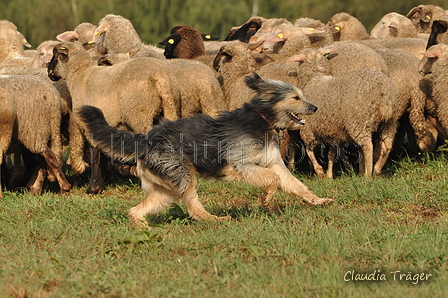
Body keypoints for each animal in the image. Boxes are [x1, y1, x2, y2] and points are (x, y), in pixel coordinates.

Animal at [48, 42, 181, 194]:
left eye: (55, 55)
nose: (48, 71)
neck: (78, 74)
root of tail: (161, 77)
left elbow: (95, 156)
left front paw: (93, 188)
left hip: (140, 115)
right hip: (170, 109)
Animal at [77, 73, 332, 227]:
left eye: (302, 96)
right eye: (296, 97)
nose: (315, 107)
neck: (262, 119)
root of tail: (146, 138)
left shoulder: (274, 163)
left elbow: (294, 184)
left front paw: (318, 200)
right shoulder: (240, 165)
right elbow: (272, 180)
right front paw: (267, 196)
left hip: (166, 188)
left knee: (136, 210)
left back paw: (142, 226)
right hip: (182, 174)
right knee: (194, 209)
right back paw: (217, 219)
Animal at [288, 48, 400, 178]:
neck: (314, 79)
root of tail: (384, 95)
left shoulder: (308, 129)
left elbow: (308, 150)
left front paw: (320, 172)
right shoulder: (331, 131)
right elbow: (331, 154)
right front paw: (329, 176)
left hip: (359, 121)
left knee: (368, 146)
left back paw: (368, 175)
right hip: (390, 122)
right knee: (387, 144)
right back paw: (376, 169)